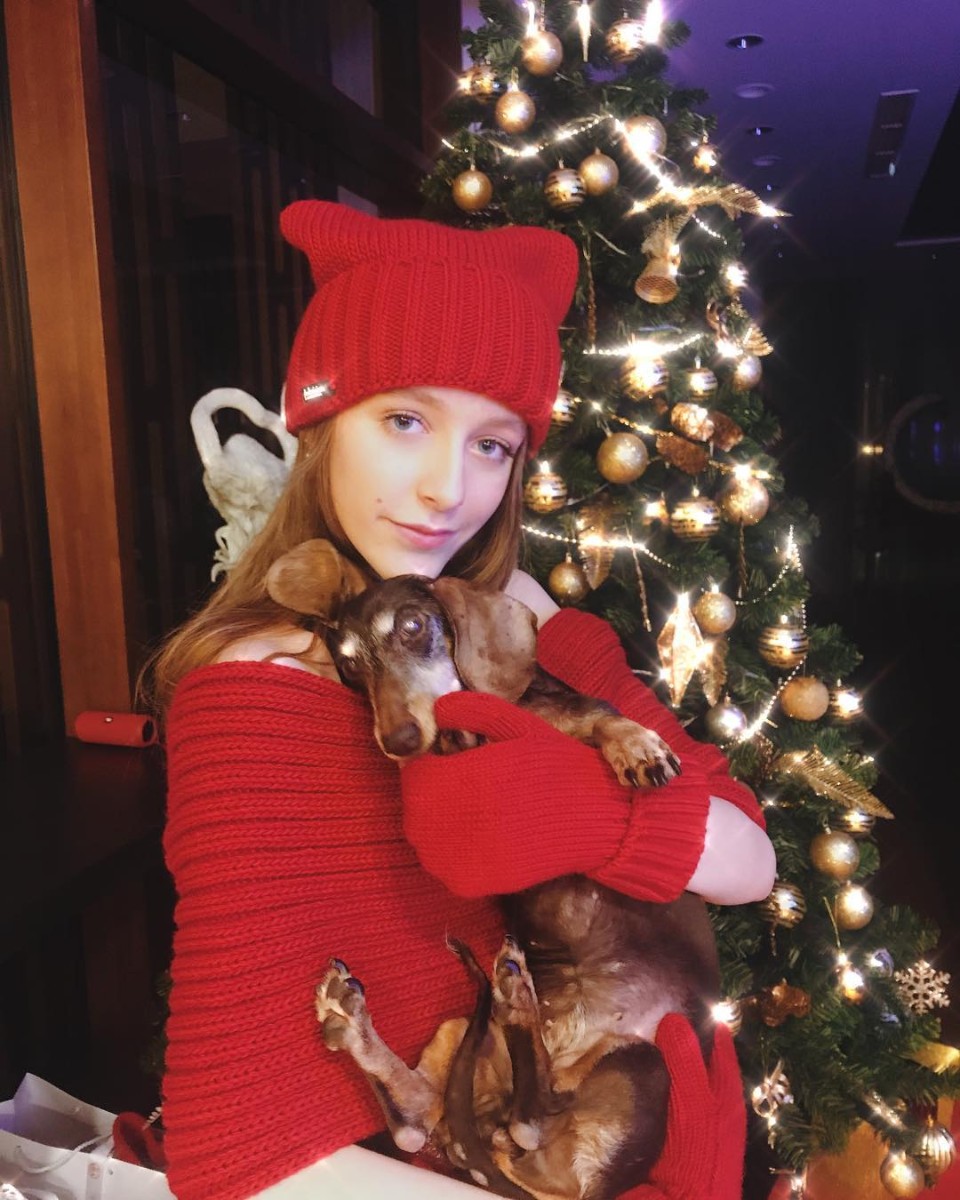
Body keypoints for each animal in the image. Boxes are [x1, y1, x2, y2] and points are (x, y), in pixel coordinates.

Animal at [265, 538, 721, 1200]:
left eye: (412, 626)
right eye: (349, 665)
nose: (400, 740)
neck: (473, 733)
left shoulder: (563, 722)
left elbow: (601, 720)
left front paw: (636, 745)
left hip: (649, 1059)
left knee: (530, 1115)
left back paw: (514, 1004)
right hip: (462, 1035)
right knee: (437, 1121)